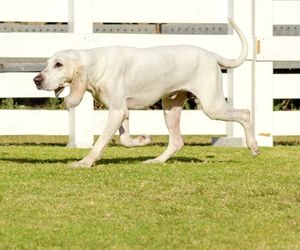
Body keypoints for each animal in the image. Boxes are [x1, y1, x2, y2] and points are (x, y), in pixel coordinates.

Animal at [32, 19, 258, 168]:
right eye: (47, 64)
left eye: (59, 64)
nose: (36, 80)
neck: (97, 63)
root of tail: (212, 54)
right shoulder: (121, 111)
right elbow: (124, 140)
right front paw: (143, 140)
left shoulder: (116, 111)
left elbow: (101, 142)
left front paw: (84, 162)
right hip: (171, 108)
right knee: (177, 141)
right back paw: (156, 161)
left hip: (212, 106)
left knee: (245, 113)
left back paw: (254, 146)